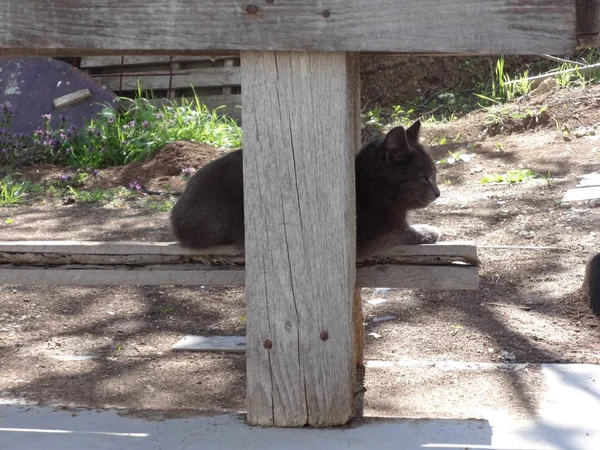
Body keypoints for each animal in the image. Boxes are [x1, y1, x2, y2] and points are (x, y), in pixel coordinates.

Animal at [171, 120, 438, 260]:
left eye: (435, 175)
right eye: (425, 178)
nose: (438, 193)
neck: (377, 187)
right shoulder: (359, 240)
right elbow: (398, 231)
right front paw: (426, 231)